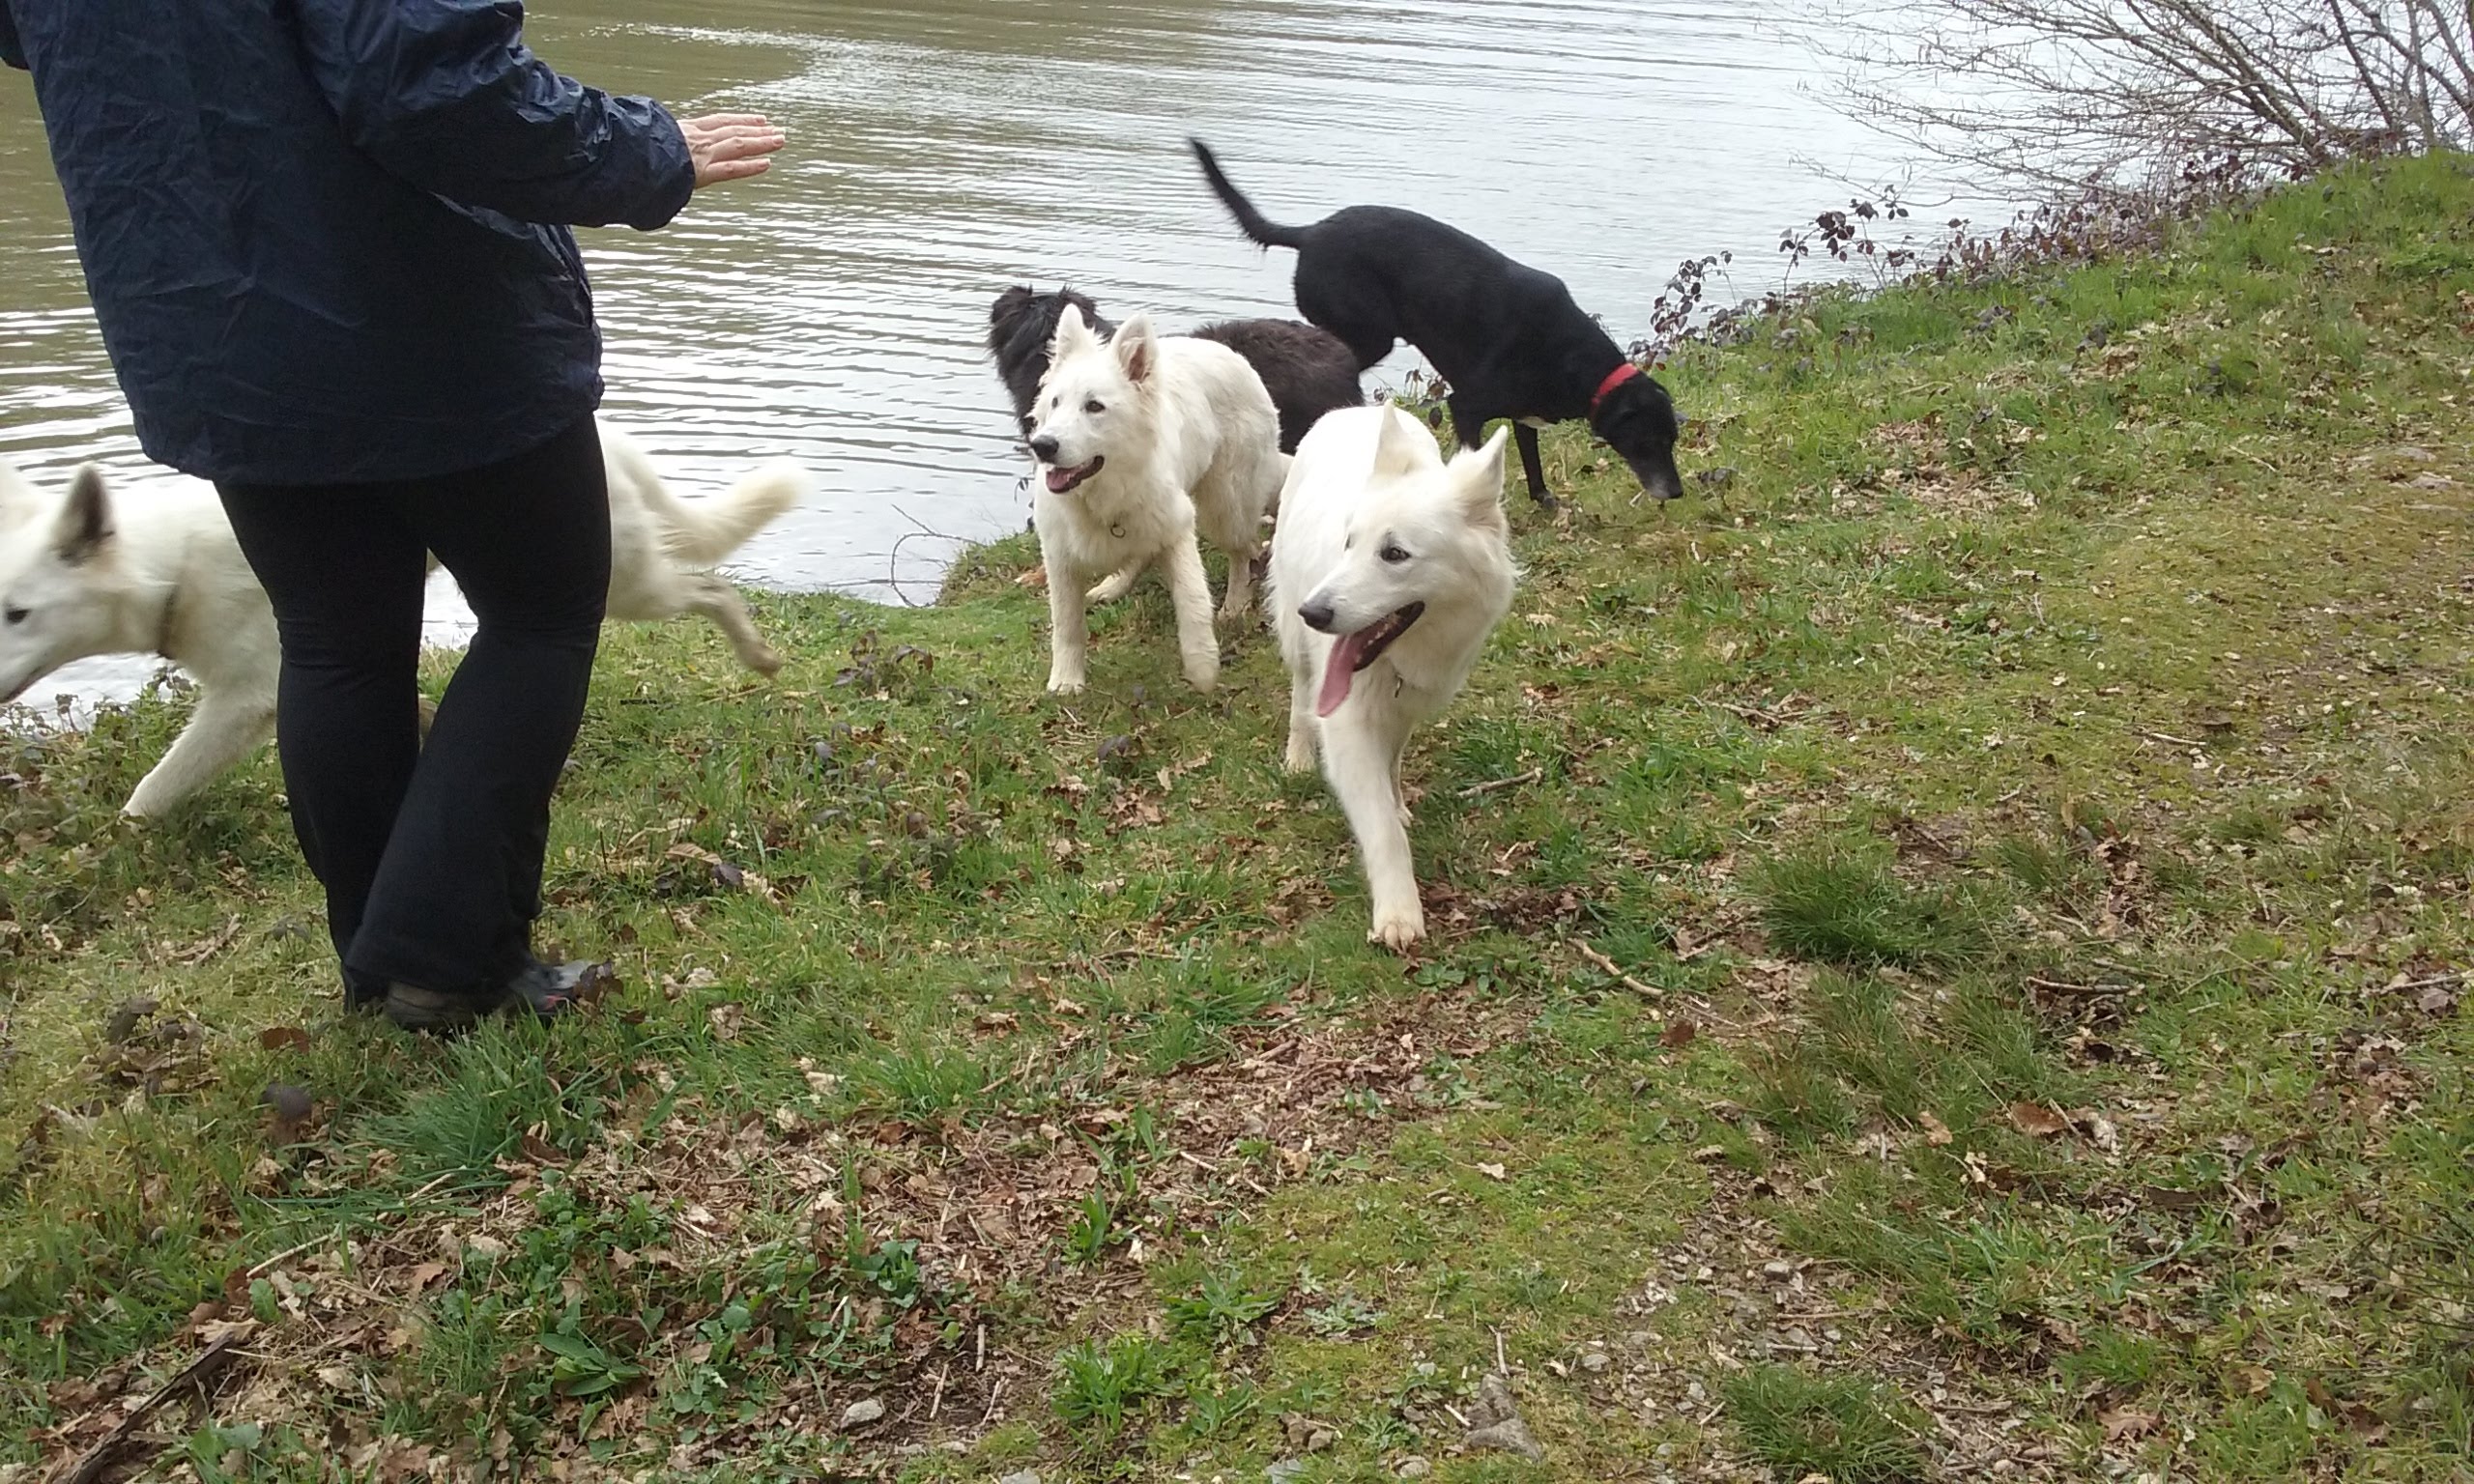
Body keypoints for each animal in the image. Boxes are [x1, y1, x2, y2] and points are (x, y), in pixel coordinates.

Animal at [0, 425, 806, 820]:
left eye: (19, 614)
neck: (167, 567)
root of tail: (609, 441)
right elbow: (419, 710)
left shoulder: (247, 699)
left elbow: (150, 792)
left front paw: (117, 840)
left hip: (616, 586)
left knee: (711, 587)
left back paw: (758, 653)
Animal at [1028, 305, 1286, 697]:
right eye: (1055, 403)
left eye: (1094, 406)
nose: (1042, 445)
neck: (1104, 495)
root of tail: (1228, 352)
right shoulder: (1060, 556)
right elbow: (1067, 623)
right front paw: (1067, 681)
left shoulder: (1178, 528)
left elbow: (1193, 601)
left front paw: (1203, 667)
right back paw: (1114, 585)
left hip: (1226, 508)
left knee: (1245, 552)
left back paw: (1235, 603)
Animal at [1192, 140, 1692, 509]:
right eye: (1648, 441)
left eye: (1672, 439)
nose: (1677, 492)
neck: (1572, 360)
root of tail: (1309, 233)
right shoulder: (1465, 406)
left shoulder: (1523, 416)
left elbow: (1532, 461)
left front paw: (1545, 501)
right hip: (1368, 334)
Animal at [1266, 403, 1513, 950]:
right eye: (1349, 543)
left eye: (1394, 554)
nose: (1313, 612)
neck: (1396, 657)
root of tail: (1352, 409)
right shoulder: (1347, 726)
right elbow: (1381, 828)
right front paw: (1399, 912)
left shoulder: (1406, 704)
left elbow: (1392, 767)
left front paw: (1398, 801)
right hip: (1296, 644)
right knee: (1299, 695)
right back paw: (1297, 755)